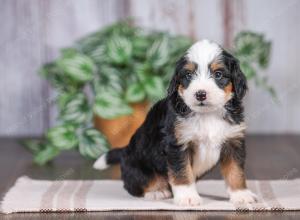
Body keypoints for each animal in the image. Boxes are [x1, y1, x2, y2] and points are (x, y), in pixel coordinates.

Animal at [94, 39, 258, 206]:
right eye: (188, 75)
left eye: (218, 74)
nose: (200, 94)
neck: (207, 115)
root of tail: (125, 151)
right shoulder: (177, 144)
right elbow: (182, 172)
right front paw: (188, 197)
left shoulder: (233, 141)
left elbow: (235, 171)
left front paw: (241, 194)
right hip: (138, 167)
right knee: (136, 184)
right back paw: (156, 192)